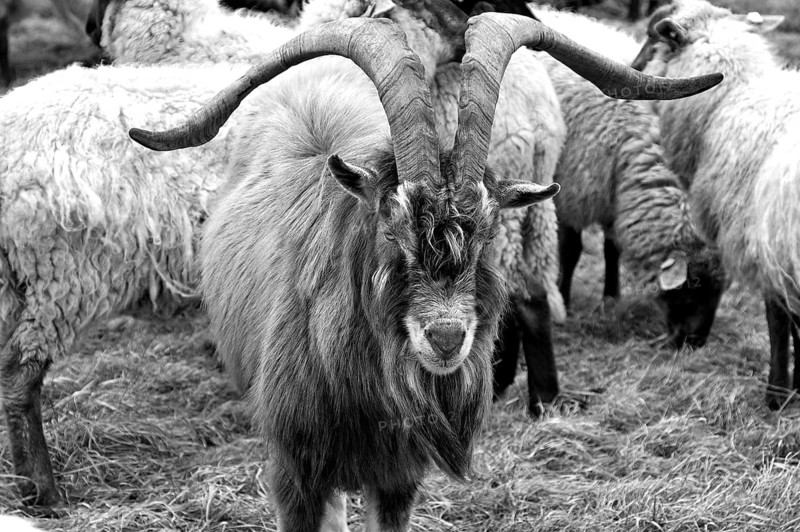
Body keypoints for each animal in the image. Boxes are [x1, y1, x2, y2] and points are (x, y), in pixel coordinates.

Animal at [630, 0, 796, 409]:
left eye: (652, 39)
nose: (633, 65)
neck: (730, 99)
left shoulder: (763, 242)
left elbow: (779, 319)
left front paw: (778, 394)